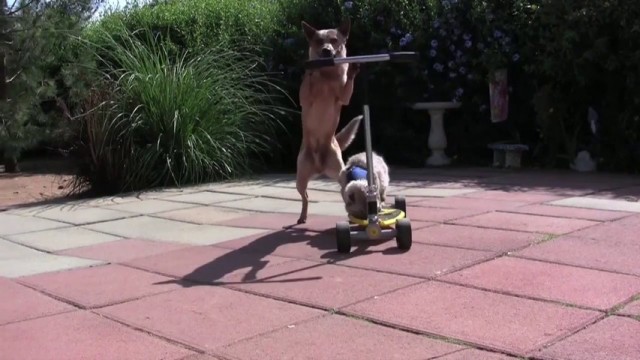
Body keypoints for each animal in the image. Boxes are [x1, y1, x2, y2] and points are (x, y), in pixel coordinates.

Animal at [294, 18, 362, 225]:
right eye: (318, 41)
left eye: (334, 40)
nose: (326, 50)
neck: (326, 75)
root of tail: (319, 167)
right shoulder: (305, 98)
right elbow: (307, 82)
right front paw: (310, 70)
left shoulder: (344, 97)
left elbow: (347, 84)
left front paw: (353, 70)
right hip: (300, 179)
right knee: (305, 196)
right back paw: (302, 216)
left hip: (339, 173)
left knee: (344, 192)